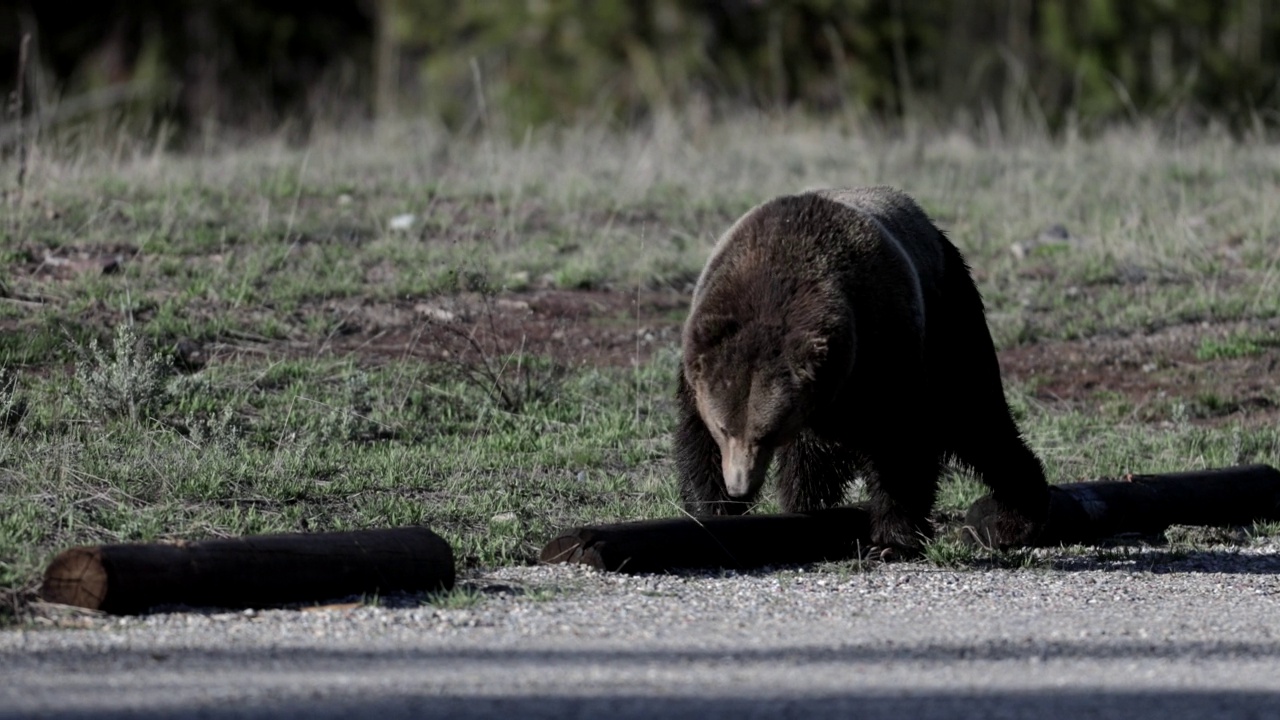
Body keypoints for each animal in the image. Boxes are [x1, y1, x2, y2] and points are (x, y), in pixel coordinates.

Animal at [675, 185, 1044, 556]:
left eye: (768, 433)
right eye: (724, 429)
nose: (741, 485)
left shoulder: (883, 345)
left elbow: (902, 444)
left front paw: (892, 539)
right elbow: (697, 443)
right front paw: (713, 512)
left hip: (950, 319)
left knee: (977, 419)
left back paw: (1015, 516)